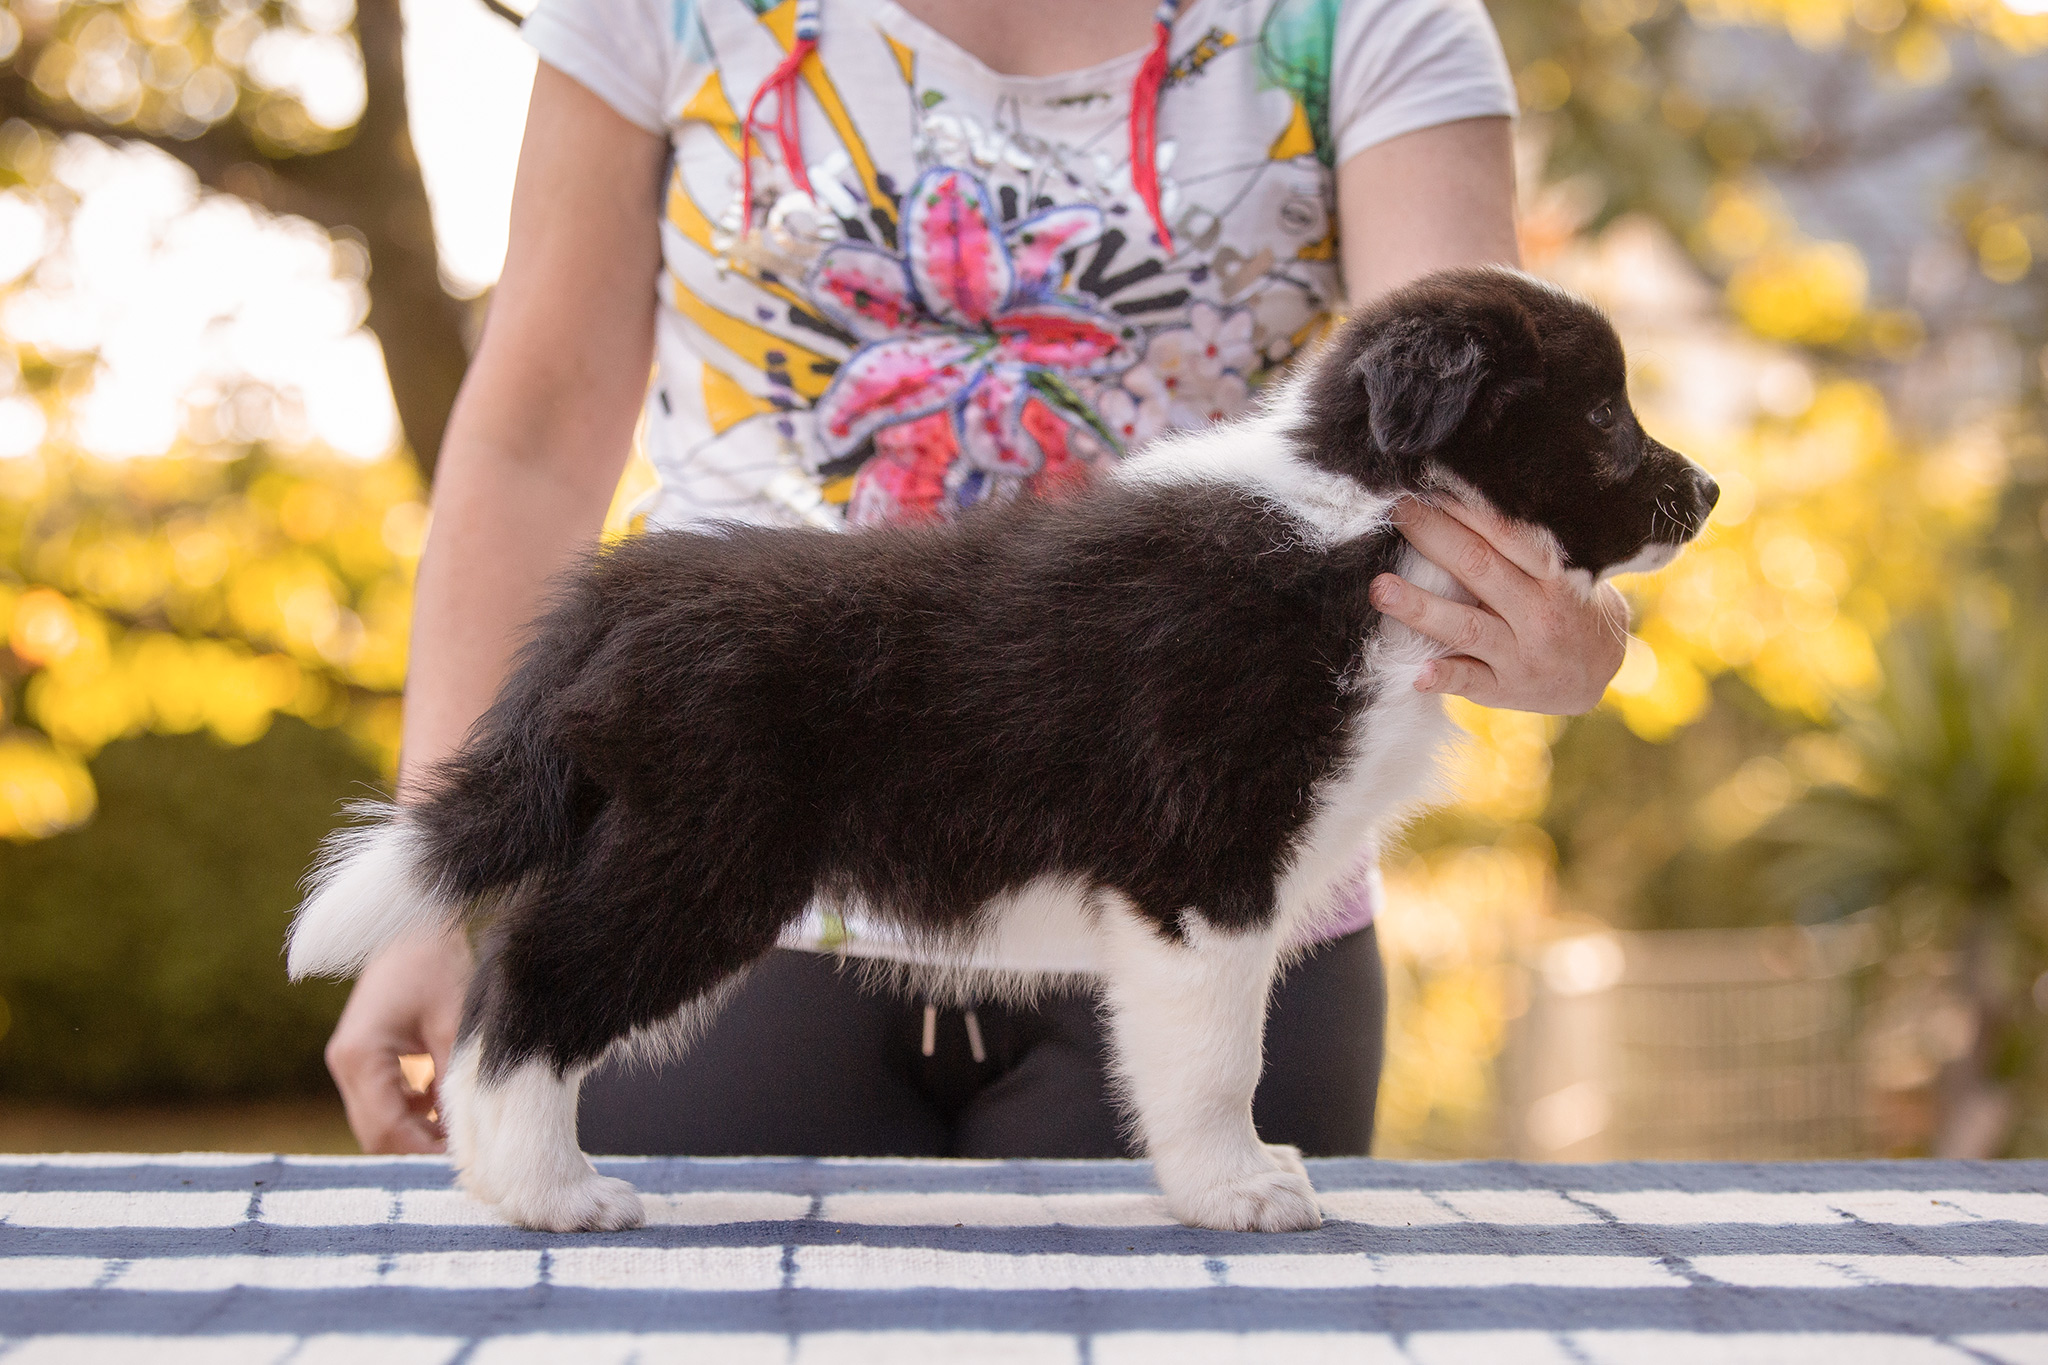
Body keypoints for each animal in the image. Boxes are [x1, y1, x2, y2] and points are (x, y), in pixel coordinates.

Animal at [288, 266, 1720, 1236]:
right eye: (1601, 417)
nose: (1706, 494)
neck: (1367, 514)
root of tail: (612, 598)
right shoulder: (1204, 866)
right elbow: (1217, 1058)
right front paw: (1237, 1191)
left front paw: (1231, 1179)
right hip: (703, 855)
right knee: (523, 989)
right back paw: (550, 1193)